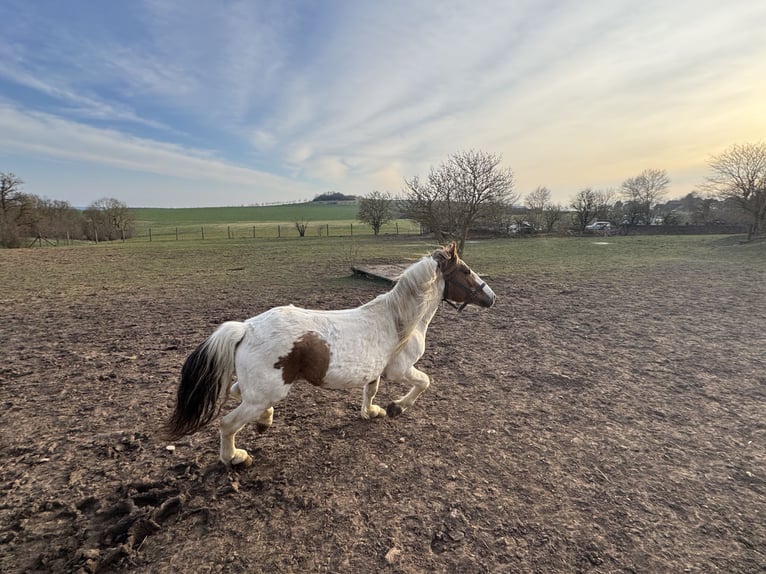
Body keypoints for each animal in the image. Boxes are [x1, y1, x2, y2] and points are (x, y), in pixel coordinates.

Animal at [163, 242, 495, 467]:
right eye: (466, 270)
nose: (491, 297)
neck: (397, 320)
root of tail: (246, 327)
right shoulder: (400, 370)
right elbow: (425, 382)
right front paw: (397, 407)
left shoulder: (375, 373)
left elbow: (370, 392)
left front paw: (372, 412)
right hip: (265, 393)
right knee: (228, 423)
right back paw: (235, 458)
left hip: (260, 390)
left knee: (236, 392)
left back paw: (264, 421)